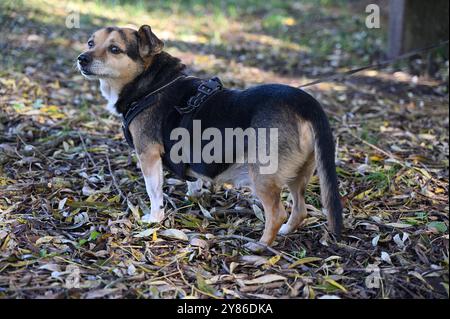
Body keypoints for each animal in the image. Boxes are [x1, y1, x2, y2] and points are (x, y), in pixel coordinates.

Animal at [78, 24, 344, 252]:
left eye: (115, 49)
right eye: (91, 43)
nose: (82, 58)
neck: (151, 85)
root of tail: (305, 103)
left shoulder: (148, 154)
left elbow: (154, 191)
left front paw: (154, 219)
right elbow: (192, 180)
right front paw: (193, 196)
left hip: (263, 175)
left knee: (277, 213)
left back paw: (260, 246)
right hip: (300, 173)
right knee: (300, 209)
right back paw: (286, 231)